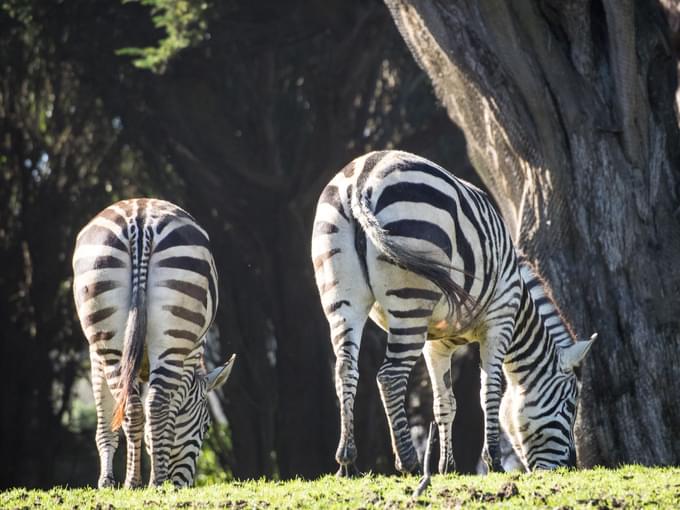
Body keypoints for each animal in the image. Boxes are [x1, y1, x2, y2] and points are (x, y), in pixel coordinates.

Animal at [72, 198, 236, 486]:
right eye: (206, 426)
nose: (184, 485)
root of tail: (140, 219)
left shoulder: (95, 352)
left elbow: (109, 418)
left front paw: (108, 482)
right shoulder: (190, 353)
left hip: (113, 336)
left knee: (139, 406)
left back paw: (138, 482)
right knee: (151, 405)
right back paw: (151, 481)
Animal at [312, 150, 596, 474]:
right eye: (570, 406)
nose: (570, 467)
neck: (520, 307)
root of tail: (362, 178)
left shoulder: (436, 344)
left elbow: (445, 402)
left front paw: (447, 467)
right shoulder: (500, 319)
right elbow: (489, 391)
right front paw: (493, 462)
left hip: (341, 296)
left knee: (345, 368)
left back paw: (347, 462)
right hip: (411, 299)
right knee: (390, 376)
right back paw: (408, 461)